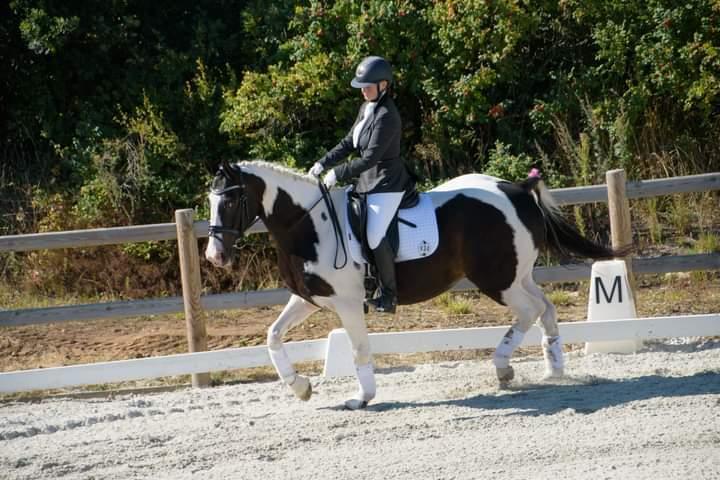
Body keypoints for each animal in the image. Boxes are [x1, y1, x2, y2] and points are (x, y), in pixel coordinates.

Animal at [204, 160, 620, 408]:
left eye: (231, 200)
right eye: (210, 200)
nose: (215, 256)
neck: (308, 224)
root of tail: (516, 189)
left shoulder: (348, 303)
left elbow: (358, 350)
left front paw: (362, 397)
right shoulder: (308, 298)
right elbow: (273, 336)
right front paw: (301, 387)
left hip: (497, 281)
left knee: (530, 311)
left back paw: (504, 368)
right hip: (516, 275)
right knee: (545, 308)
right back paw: (554, 369)